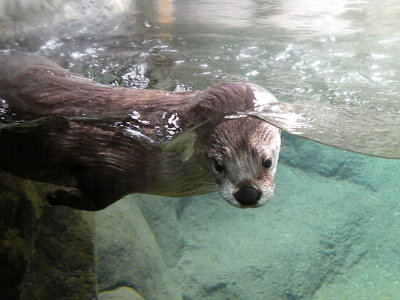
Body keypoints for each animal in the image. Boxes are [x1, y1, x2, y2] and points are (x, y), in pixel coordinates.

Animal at [0, 55, 282, 212]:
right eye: (218, 165)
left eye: (268, 161)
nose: (248, 194)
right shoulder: (110, 161)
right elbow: (98, 197)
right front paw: (59, 196)